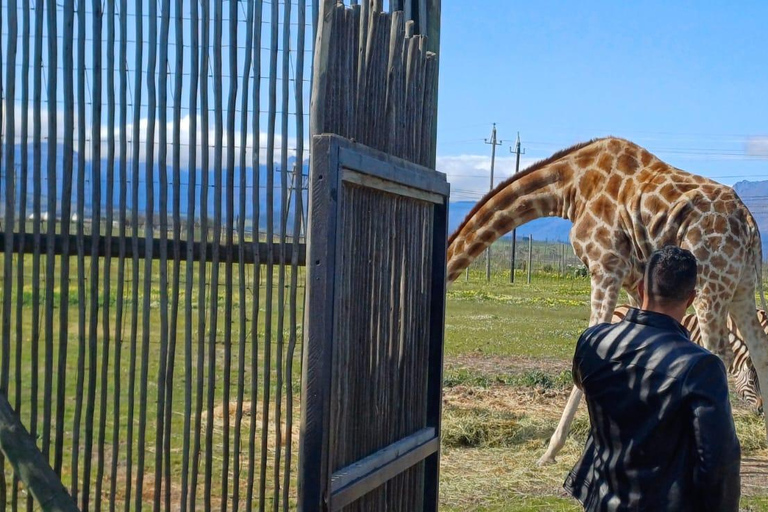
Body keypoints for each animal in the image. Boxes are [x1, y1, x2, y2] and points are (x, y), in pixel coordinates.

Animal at [448, 135, 768, 464]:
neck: (569, 187)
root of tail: (750, 224)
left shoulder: (605, 265)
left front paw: (552, 450)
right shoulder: (635, 279)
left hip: (709, 284)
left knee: (719, 352)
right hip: (740, 286)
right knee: (759, 346)